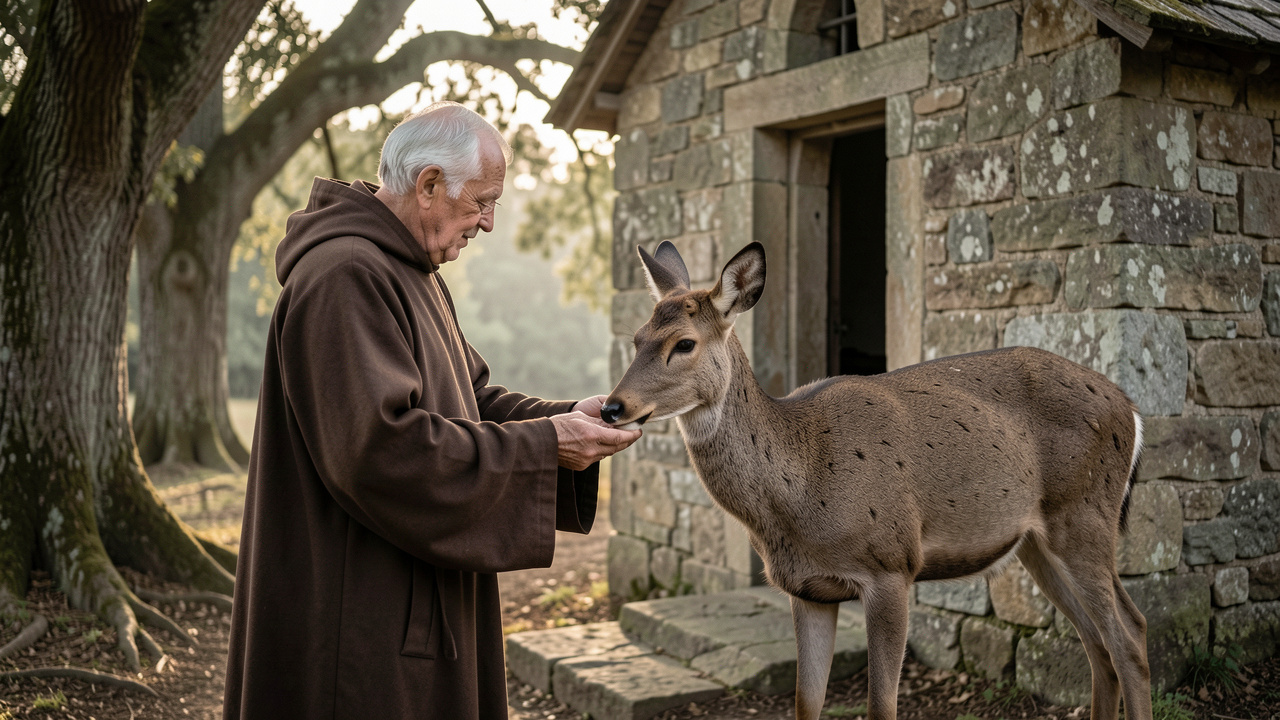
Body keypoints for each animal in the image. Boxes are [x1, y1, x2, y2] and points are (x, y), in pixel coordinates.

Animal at [600, 241, 1152, 720]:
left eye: (684, 343)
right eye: (637, 339)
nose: (611, 408)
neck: (801, 490)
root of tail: (1131, 409)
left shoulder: (892, 565)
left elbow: (881, 706)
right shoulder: (806, 589)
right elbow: (806, 703)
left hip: (1084, 515)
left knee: (1130, 634)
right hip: (1036, 540)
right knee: (1098, 642)